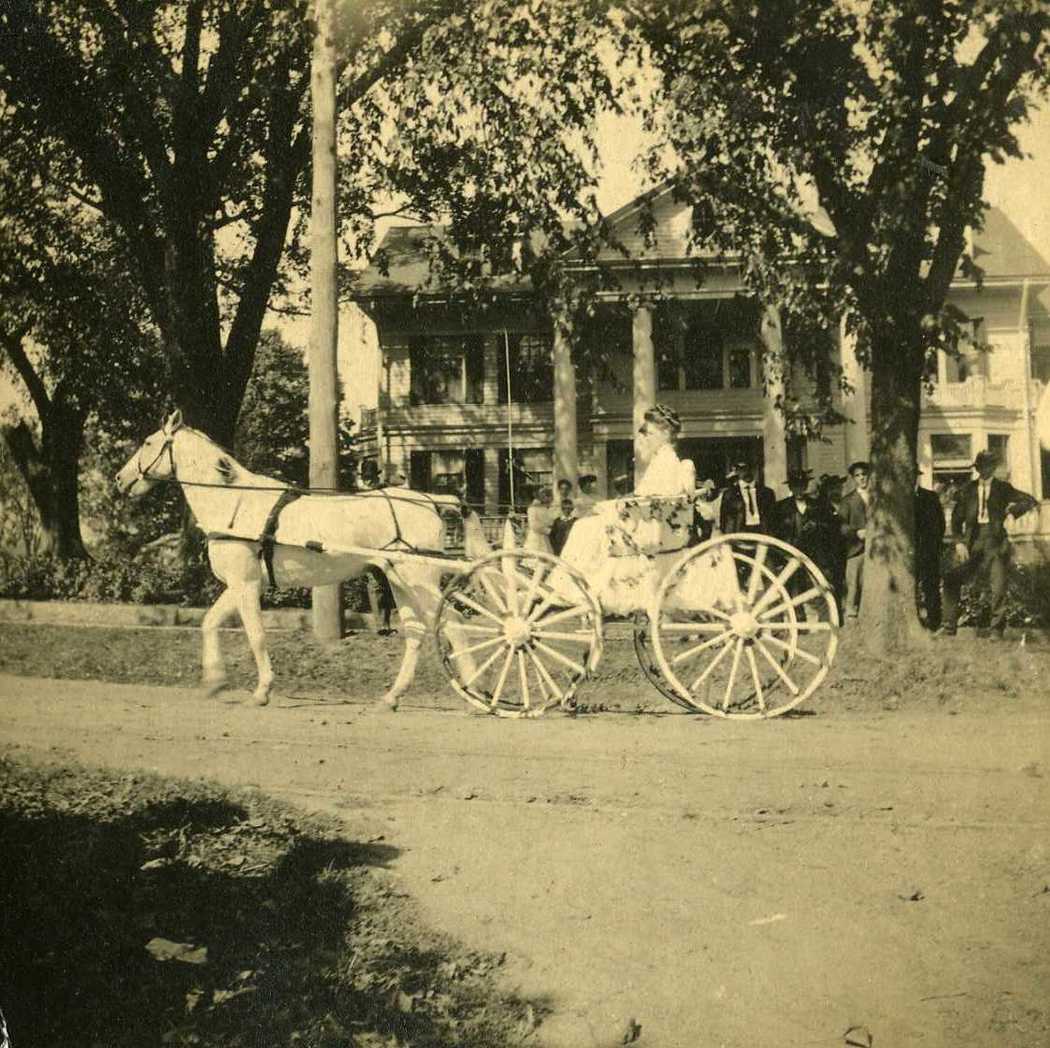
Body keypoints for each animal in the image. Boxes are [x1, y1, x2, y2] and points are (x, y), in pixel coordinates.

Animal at [117, 407, 485, 705]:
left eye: (148, 443)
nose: (120, 479)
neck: (234, 502)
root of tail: (431, 499)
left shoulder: (246, 584)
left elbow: (256, 635)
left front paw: (262, 690)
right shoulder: (239, 584)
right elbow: (210, 622)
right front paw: (214, 681)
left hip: (419, 578)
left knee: (454, 622)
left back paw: (475, 691)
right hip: (399, 580)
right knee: (416, 632)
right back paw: (392, 697)